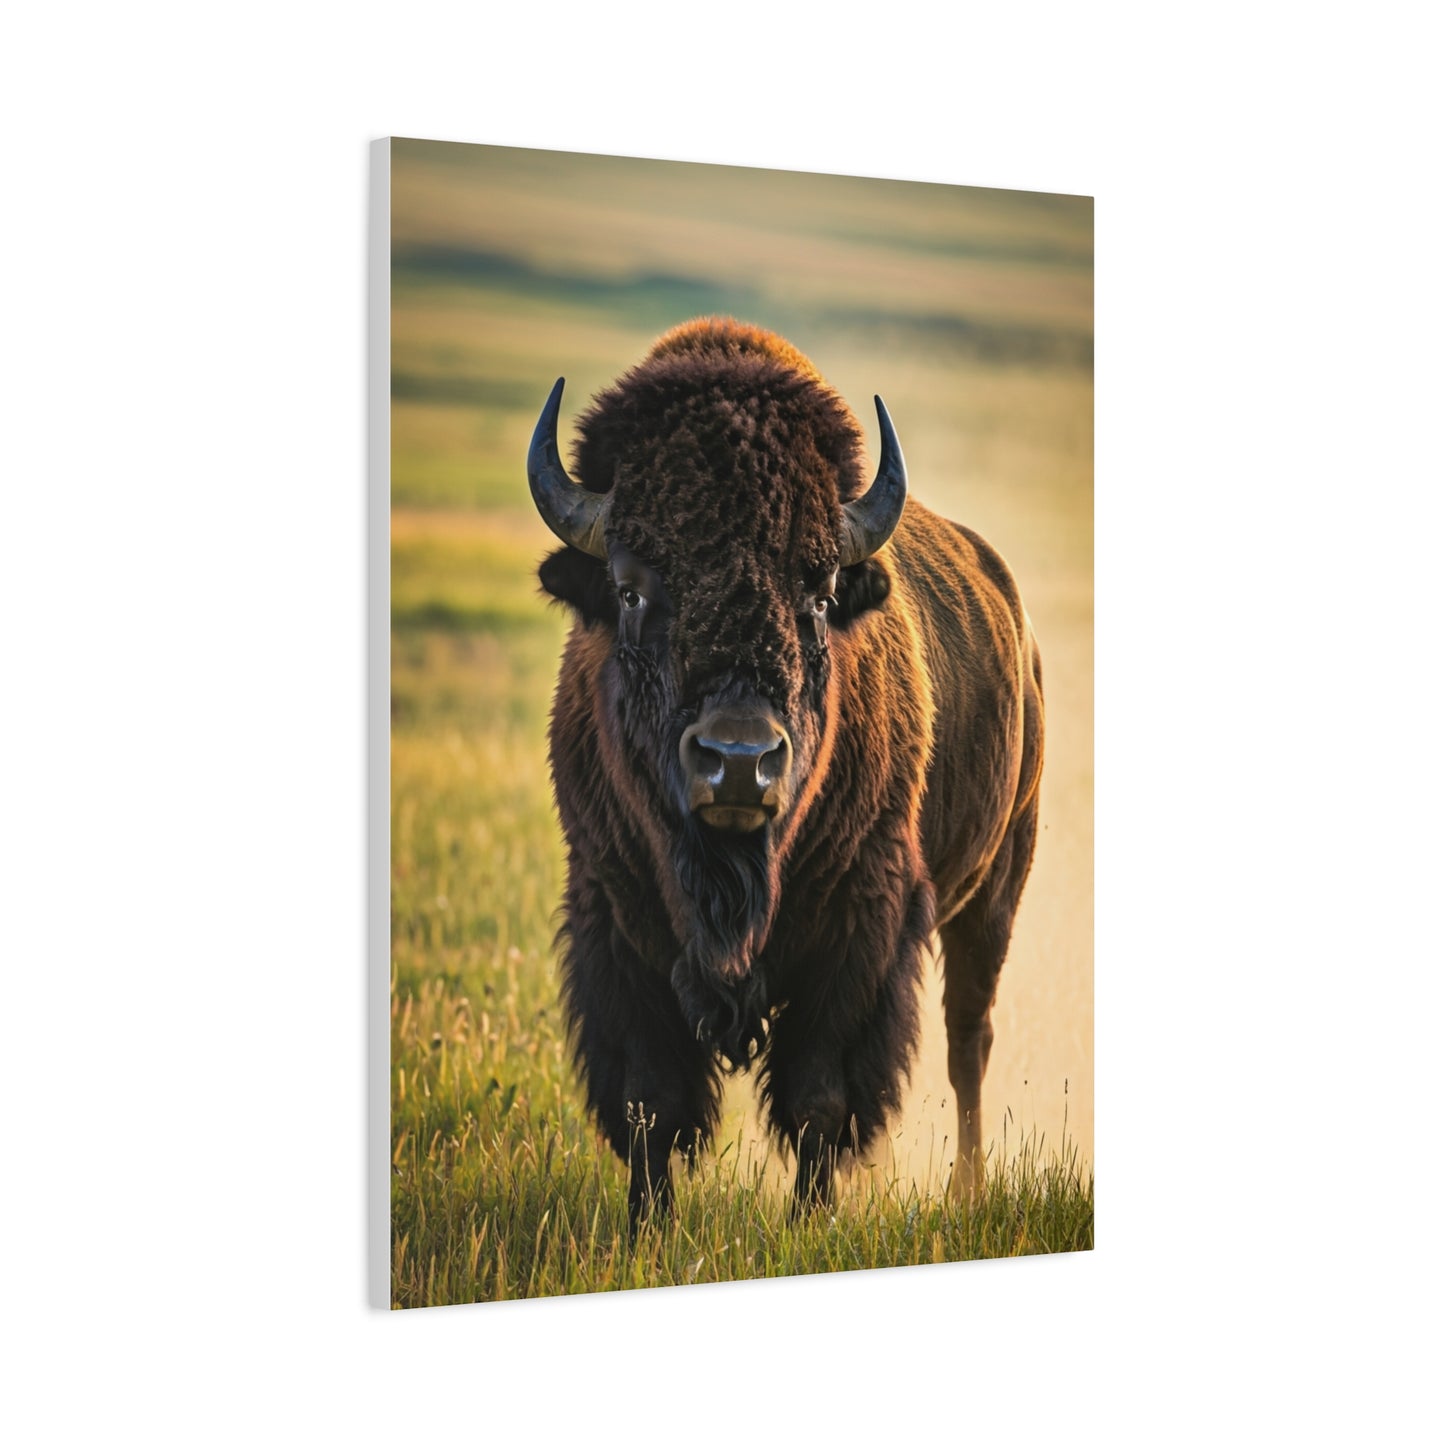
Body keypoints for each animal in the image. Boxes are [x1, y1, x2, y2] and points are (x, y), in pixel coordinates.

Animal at [528, 318, 1044, 1223]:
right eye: (628, 589)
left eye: (820, 590)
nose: (739, 762)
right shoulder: (612, 915)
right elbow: (649, 1098)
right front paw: (645, 1225)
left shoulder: (860, 928)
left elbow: (818, 1096)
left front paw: (810, 1221)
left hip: (994, 890)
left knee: (967, 1039)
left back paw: (967, 1189)